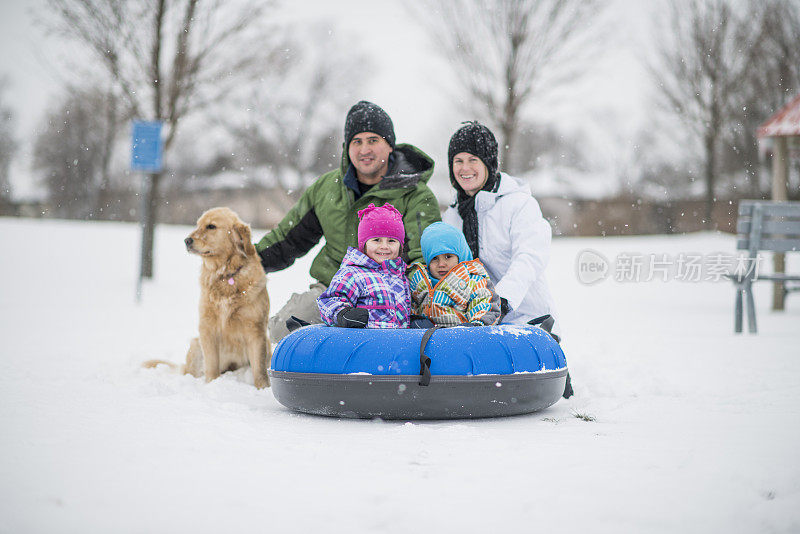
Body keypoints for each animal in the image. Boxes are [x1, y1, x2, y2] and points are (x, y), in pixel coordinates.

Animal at [142, 208, 270, 390]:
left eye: (211, 226)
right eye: (197, 225)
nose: (186, 240)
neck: (225, 276)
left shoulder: (256, 329)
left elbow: (259, 368)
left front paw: (263, 388)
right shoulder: (207, 327)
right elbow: (211, 364)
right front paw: (212, 384)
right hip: (195, 345)